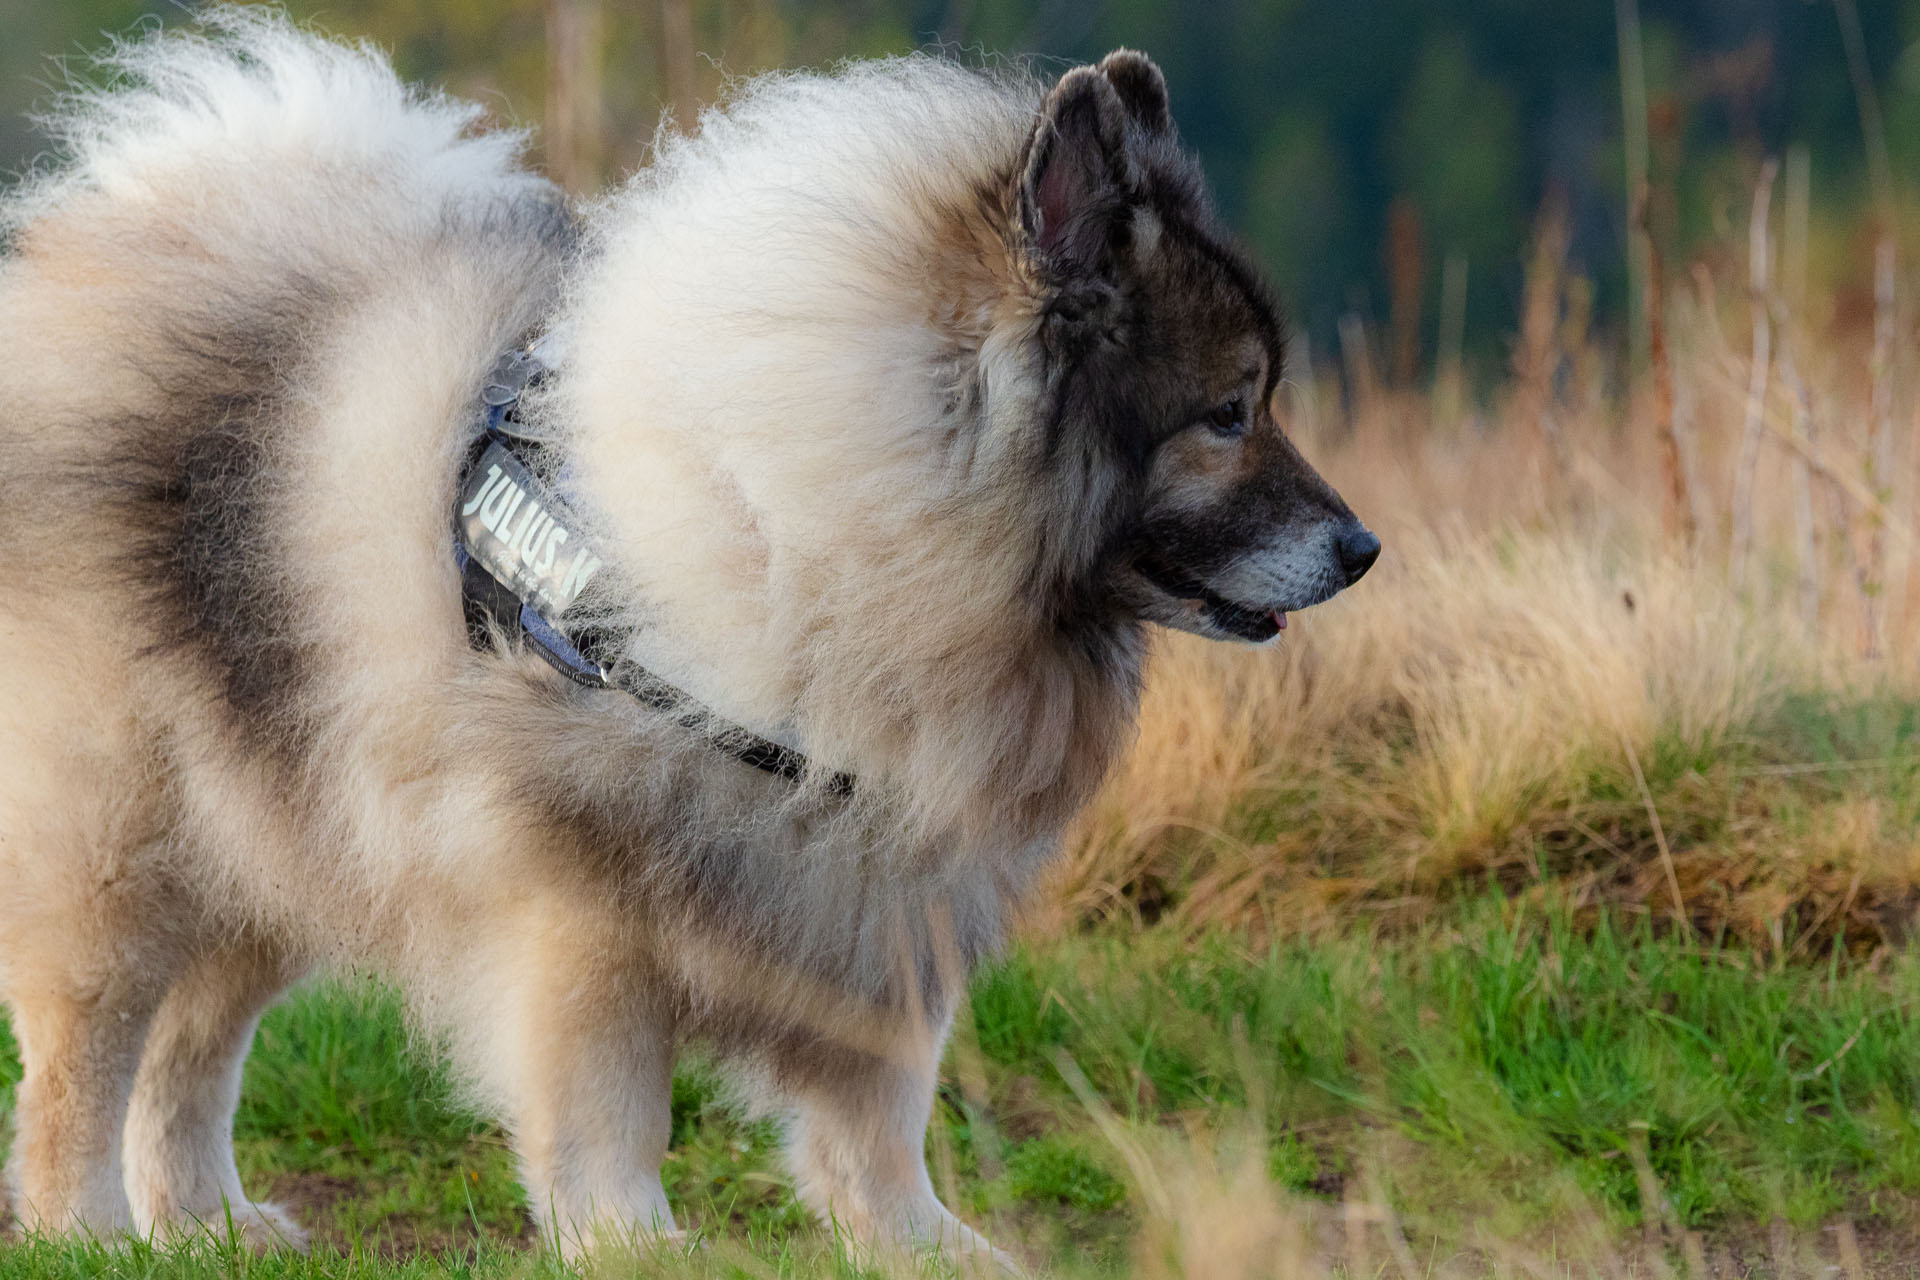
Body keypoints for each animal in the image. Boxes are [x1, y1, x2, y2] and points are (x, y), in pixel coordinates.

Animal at [0, 10, 1374, 1274]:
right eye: (1227, 413)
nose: (1362, 548)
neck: (818, 531)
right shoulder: (587, 903)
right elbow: (613, 1105)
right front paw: (633, 1238)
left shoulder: (875, 887)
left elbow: (883, 1110)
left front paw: (922, 1241)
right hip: (126, 849)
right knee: (85, 1059)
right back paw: (89, 1229)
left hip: (271, 829)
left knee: (191, 1051)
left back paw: (207, 1223)